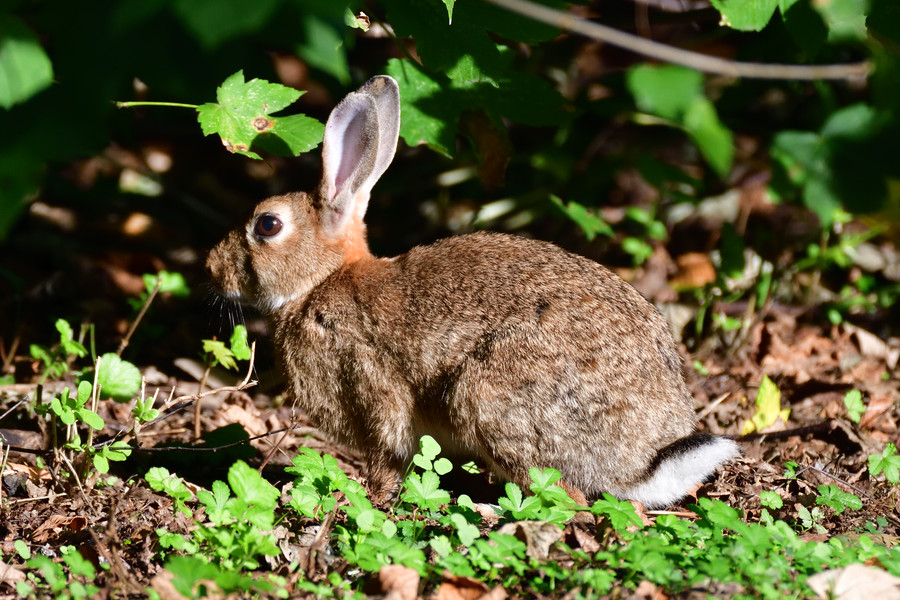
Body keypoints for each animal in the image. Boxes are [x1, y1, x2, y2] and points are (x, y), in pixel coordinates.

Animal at [209, 74, 740, 506]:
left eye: (268, 224)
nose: (214, 268)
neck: (318, 282)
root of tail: (642, 464)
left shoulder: (373, 390)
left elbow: (387, 454)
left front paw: (369, 497)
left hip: (488, 398)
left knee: (567, 497)